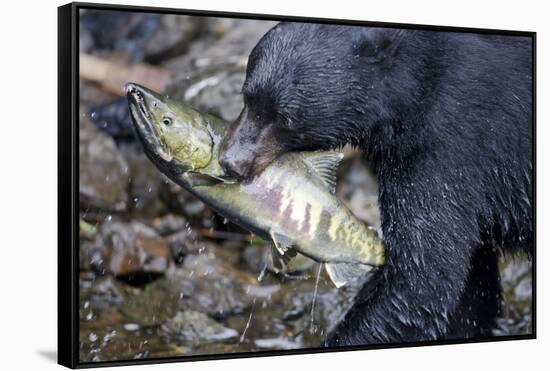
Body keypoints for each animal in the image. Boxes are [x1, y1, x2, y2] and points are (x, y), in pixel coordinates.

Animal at [220, 22, 536, 346]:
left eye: (285, 118)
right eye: (246, 97)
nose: (231, 161)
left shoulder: (446, 150)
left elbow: (421, 278)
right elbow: (471, 282)